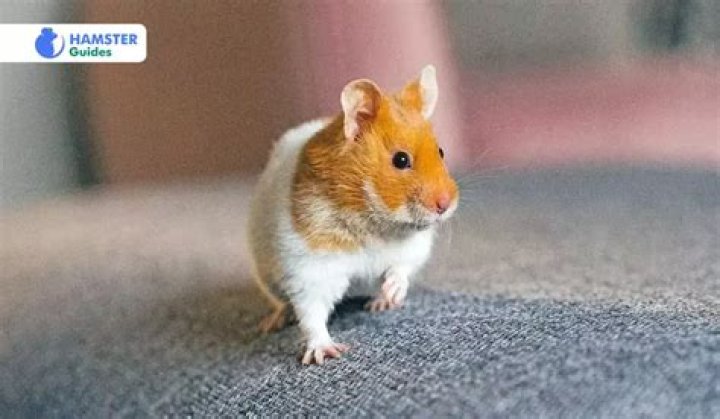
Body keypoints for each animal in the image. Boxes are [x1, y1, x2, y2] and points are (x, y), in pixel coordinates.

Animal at [247, 65, 459, 365]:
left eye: (441, 152)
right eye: (401, 160)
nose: (446, 204)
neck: (375, 222)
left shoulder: (412, 247)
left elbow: (401, 267)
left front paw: (390, 297)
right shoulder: (309, 267)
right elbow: (311, 313)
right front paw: (325, 353)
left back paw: (378, 302)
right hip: (269, 277)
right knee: (285, 303)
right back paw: (271, 323)